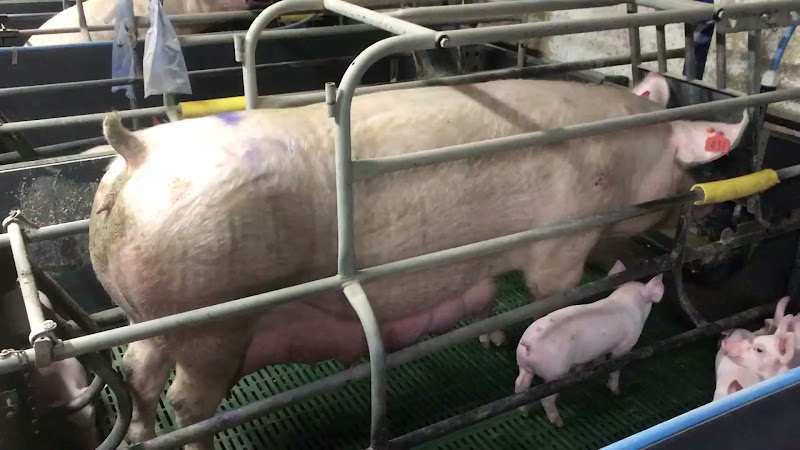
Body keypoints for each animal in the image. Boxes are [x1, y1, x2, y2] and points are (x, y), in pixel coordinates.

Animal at [513, 261, 663, 426]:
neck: (627, 301)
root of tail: (529, 345)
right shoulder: (624, 345)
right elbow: (615, 368)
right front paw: (616, 391)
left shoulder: (601, 349)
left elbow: (600, 360)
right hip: (555, 374)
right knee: (546, 399)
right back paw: (559, 422)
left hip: (524, 366)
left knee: (520, 386)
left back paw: (524, 413)